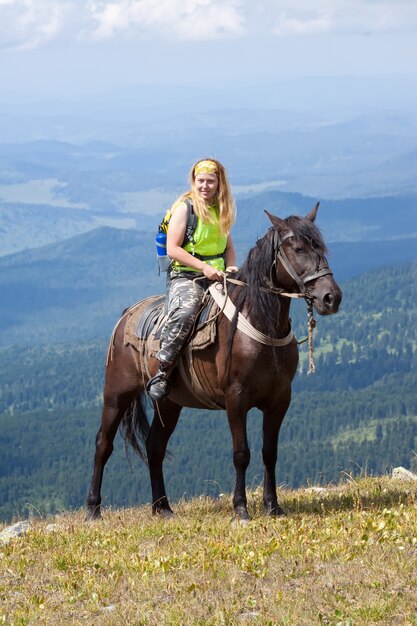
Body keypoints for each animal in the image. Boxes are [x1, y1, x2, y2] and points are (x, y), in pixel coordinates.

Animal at [85, 206, 342, 520]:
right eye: (298, 249)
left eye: (322, 248)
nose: (331, 297)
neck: (262, 324)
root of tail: (126, 316)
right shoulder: (236, 399)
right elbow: (241, 453)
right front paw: (240, 509)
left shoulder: (279, 400)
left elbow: (270, 453)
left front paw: (273, 506)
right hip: (116, 394)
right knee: (103, 444)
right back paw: (93, 509)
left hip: (169, 403)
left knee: (155, 447)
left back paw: (162, 508)